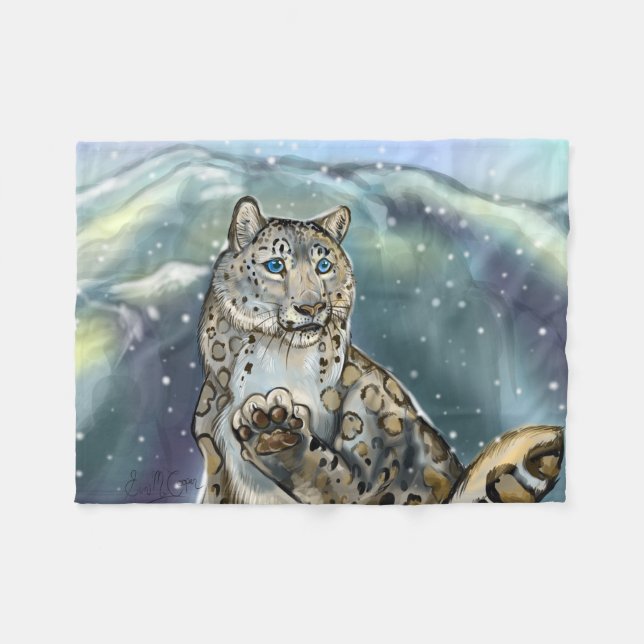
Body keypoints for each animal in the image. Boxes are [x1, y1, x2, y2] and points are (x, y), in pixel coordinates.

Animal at [192, 196, 564, 504]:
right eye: (275, 265)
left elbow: (328, 473)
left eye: (323, 266)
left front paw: (273, 427)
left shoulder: (369, 469)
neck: (277, 359)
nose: (311, 306)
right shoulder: (215, 461)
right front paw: (270, 425)